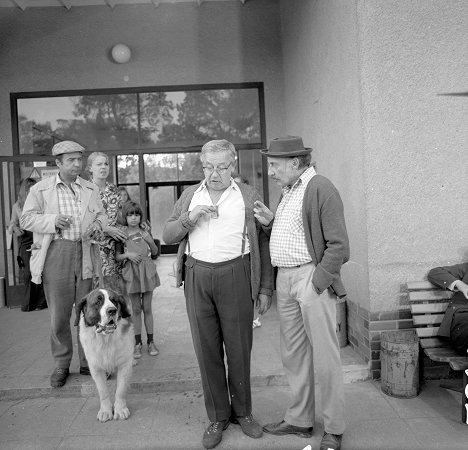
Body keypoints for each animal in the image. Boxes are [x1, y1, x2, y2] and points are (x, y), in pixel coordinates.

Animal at [75, 288, 133, 422]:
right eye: (98, 302)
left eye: (114, 300)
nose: (112, 310)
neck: (105, 339)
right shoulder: (96, 368)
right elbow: (103, 391)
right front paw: (105, 411)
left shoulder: (124, 365)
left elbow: (121, 389)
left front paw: (120, 409)